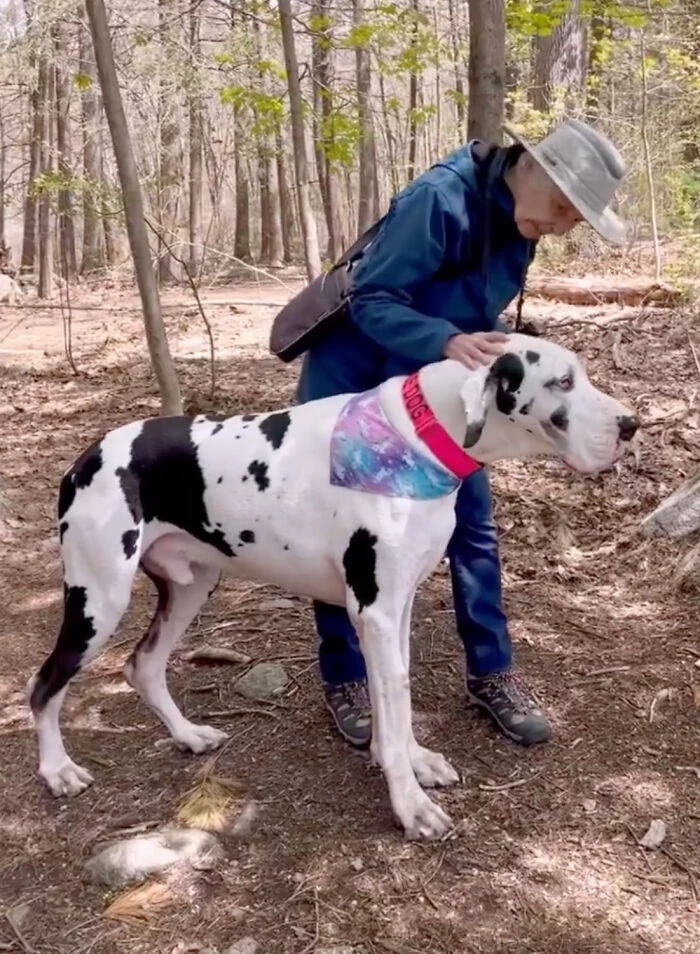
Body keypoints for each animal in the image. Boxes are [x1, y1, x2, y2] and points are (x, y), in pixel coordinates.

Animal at [28, 334, 640, 840]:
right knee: (44, 684)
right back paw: (58, 770)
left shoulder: (397, 608)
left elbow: (399, 696)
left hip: (191, 587)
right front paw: (410, 804)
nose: (632, 425)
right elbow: (394, 705)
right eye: (563, 382)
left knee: (144, 665)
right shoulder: (374, 611)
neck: (417, 436)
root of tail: (84, 458)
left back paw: (188, 735)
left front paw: (414, 760)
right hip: (98, 599)